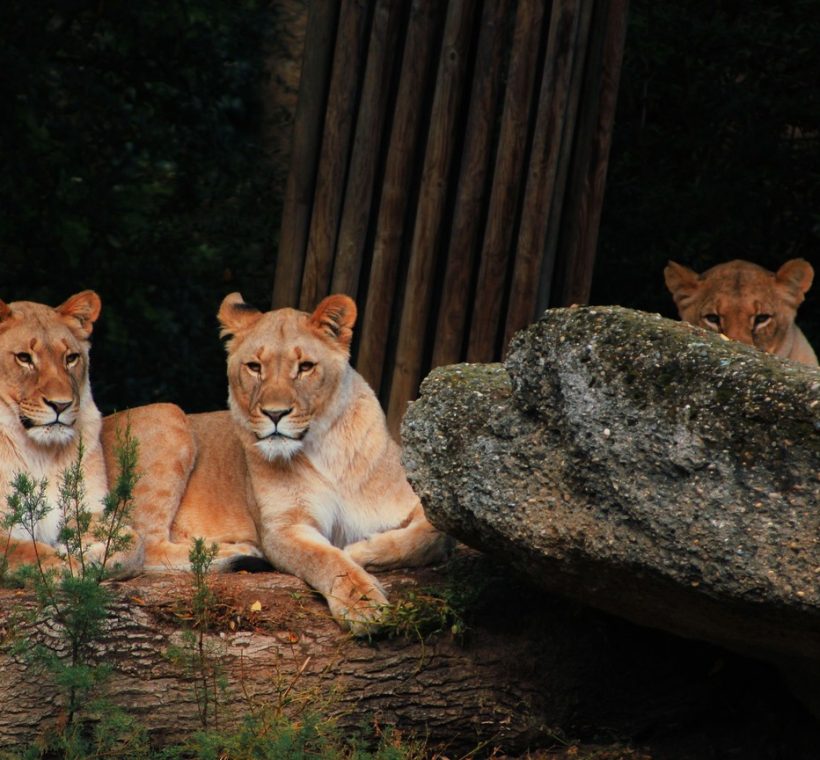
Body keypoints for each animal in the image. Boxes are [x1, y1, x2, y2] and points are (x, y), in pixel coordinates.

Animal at [0, 291, 143, 576]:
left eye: (71, 358)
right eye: (24, 358)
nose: (61, 405)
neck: (39, 453)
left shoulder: (90, 508)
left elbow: (133, 543)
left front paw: (89, 553)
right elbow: (24, 550)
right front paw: (65, 566)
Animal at [102, 294, 449, 632]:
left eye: (306, 367)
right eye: (254, 367)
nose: (275, 414)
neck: (326, 450)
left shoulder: (416, 498)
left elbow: (434, 534)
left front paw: (362, 550)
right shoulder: (283, 528)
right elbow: (326, 559)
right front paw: (363, 605)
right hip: (169, 413)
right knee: (146, 546)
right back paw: (237, 551)